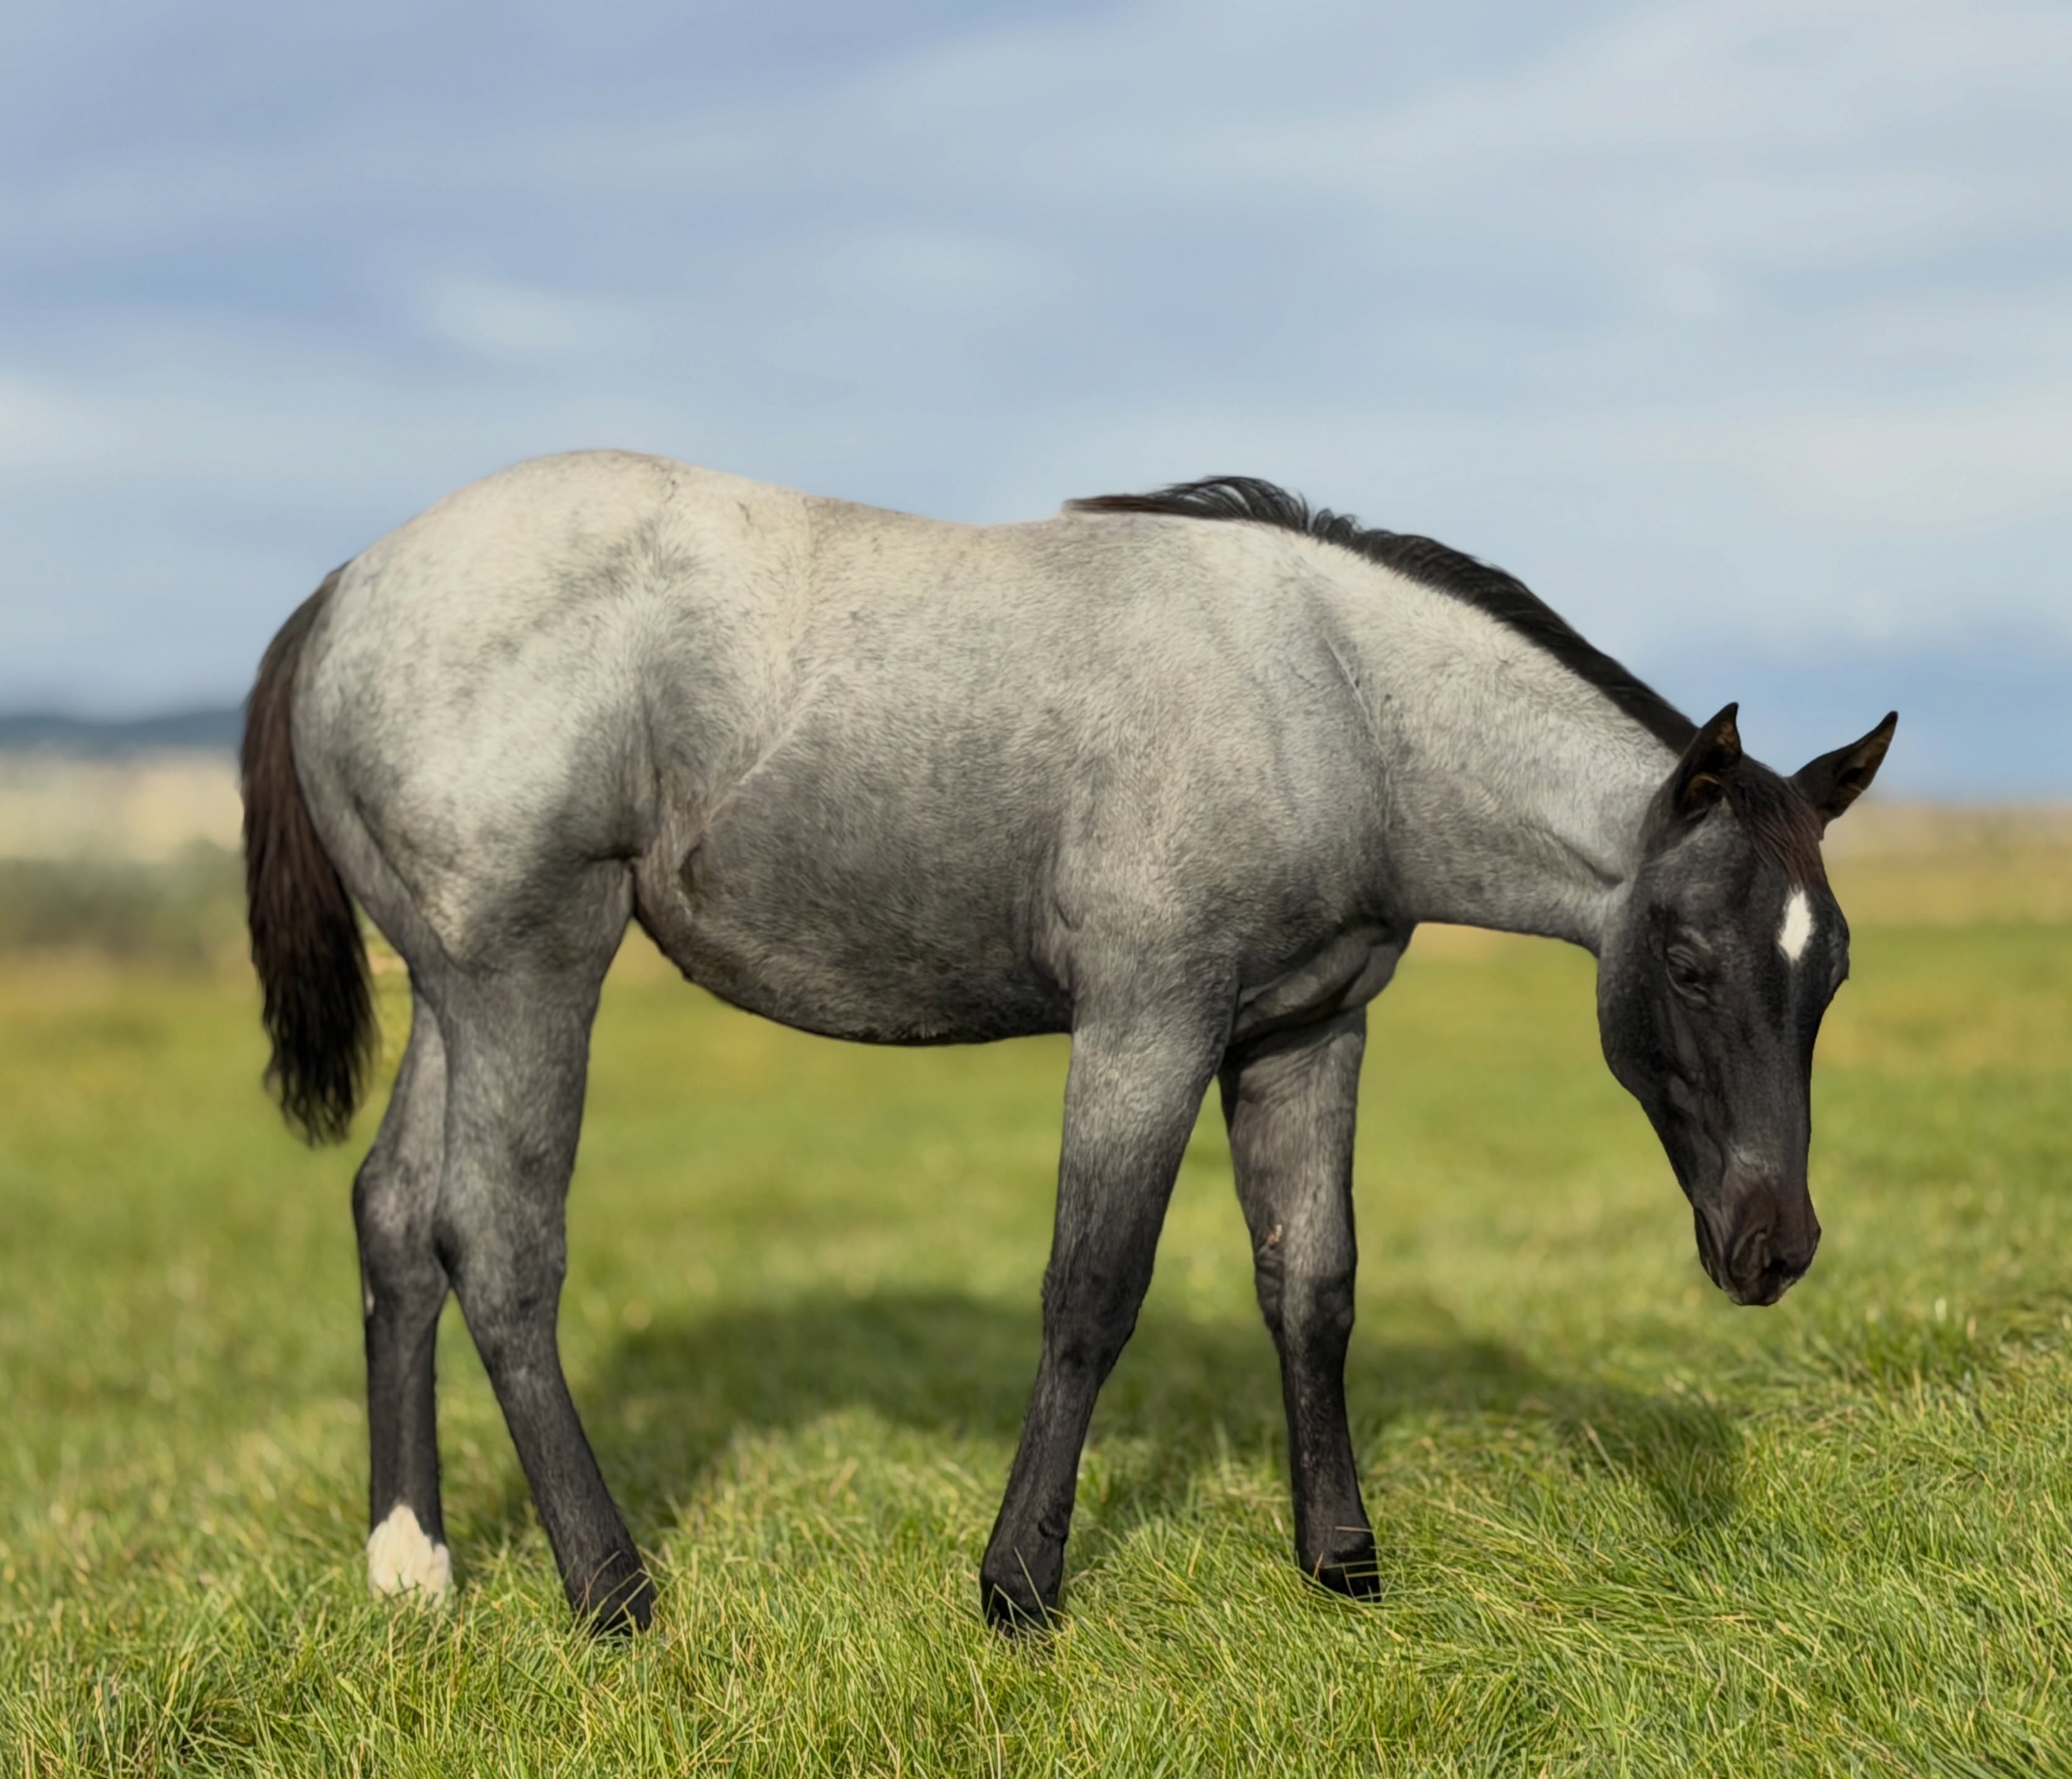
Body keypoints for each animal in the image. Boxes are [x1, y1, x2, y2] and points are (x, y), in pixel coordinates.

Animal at [240, 453, 1895, 1633]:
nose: (1772, 1243)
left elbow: (1313, 1286)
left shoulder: (1306, 1033)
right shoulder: (1147, 1023)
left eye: (1830, 972)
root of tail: (349, 586)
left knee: (398, 1215)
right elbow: (1091, 1292)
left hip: (453, 992)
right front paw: (1018, 1586)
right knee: (500, 1241)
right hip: (527, 975)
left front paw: (1340, 1563)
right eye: (1687, 960)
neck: (1331, 701)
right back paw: (611, 1588)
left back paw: (413, 1567)